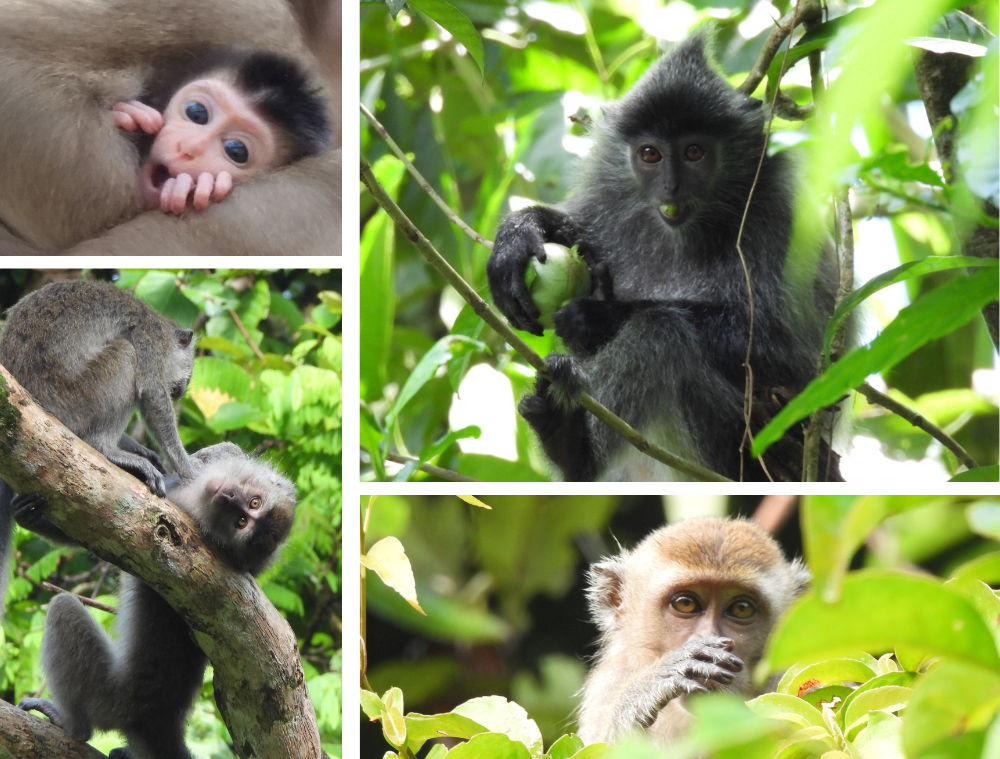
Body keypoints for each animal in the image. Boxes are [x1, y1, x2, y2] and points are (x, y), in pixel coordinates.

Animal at [18, 442, 296, 759]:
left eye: (241, 521)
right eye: (253, 504)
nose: (229, 498)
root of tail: (160, 718)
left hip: (109, 699)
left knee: (63, 608)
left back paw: (72, 725)